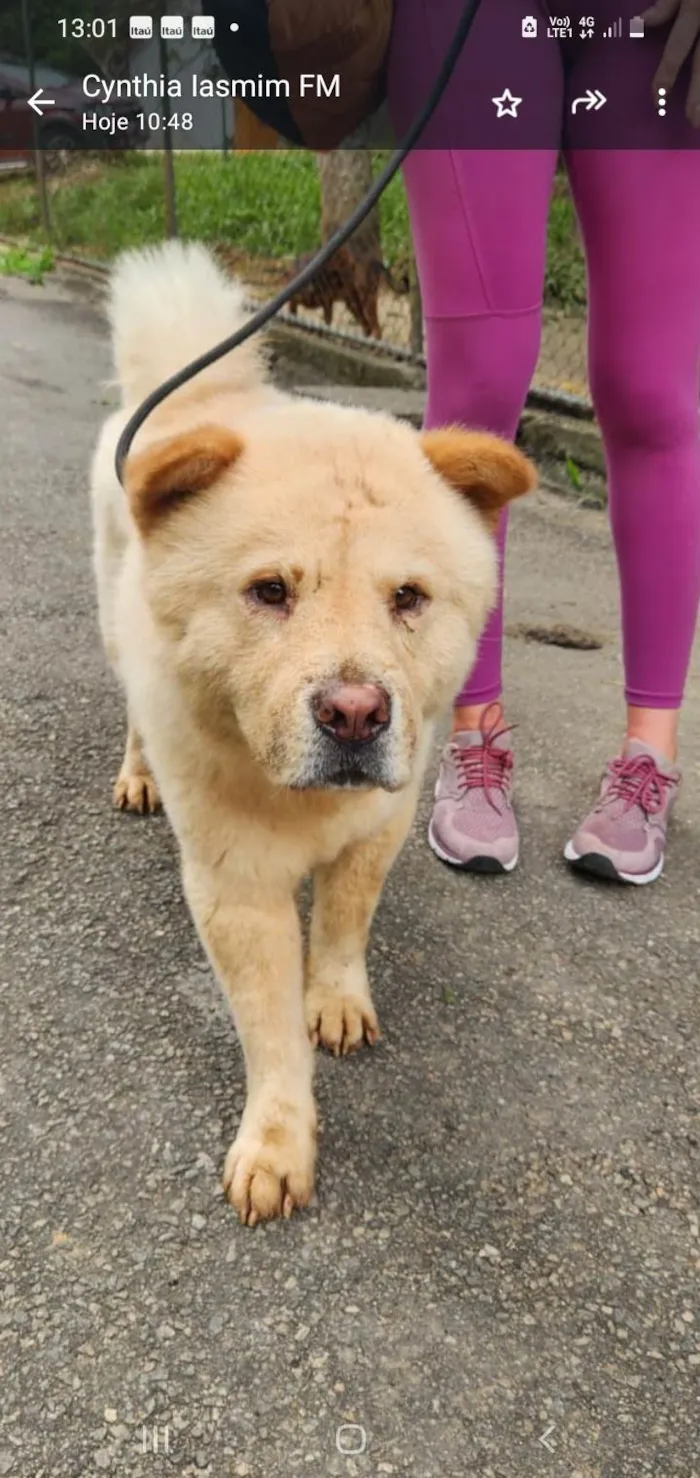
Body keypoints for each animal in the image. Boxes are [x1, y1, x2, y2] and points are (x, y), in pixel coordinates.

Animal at [88, 245, 534, 1223]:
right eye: (269, 591)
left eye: (408, 597)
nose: (356, 713)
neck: (301, 801)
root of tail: (201, 393)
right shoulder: (235, 884)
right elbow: (268, 1028)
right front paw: (277, 1146)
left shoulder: (381, 826)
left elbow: (343, 921)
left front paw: (336, 1000)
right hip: (113, 620)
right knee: (132, 707)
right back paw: (138, 776)